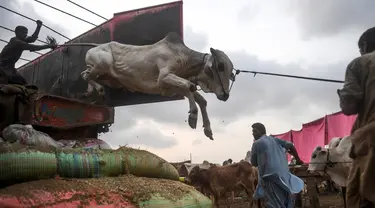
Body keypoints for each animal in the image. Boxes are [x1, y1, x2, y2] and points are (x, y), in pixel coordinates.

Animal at [58, 32, 235, 140]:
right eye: (220, 66)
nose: (226, 95)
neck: (184, 58)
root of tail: (94, 47)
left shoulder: (169, 87)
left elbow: (199, 97)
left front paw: (208, 130)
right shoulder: (164, 77)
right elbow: (189, 86)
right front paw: (192, 117)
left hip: (101, 72)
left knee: (86, 76)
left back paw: (91, 92)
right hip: (100, 65)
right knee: (85, 75)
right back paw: (97, 90)